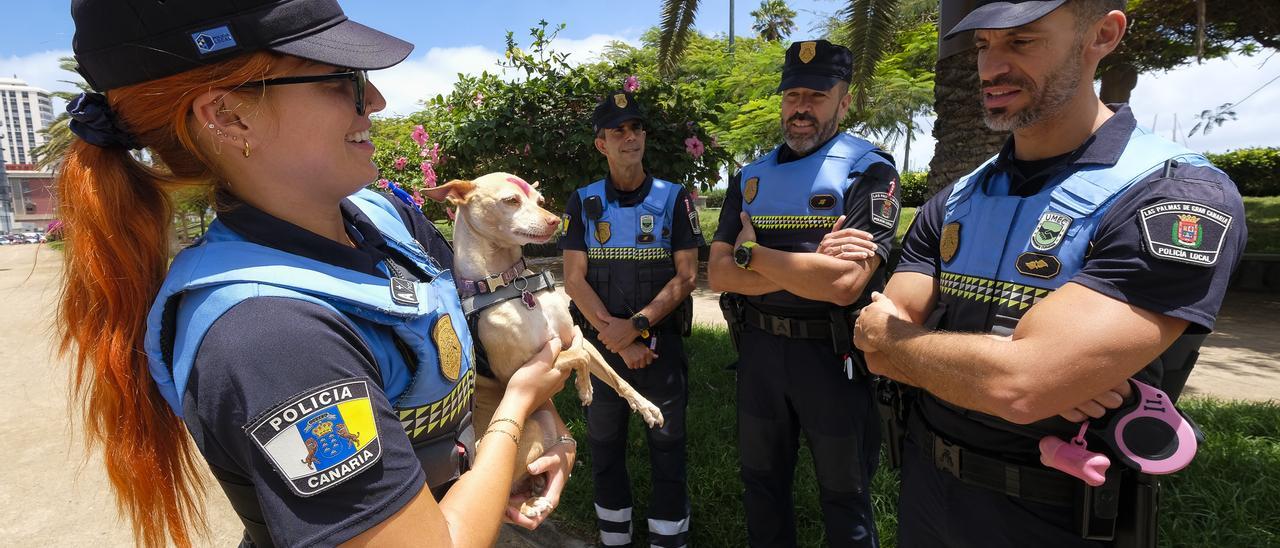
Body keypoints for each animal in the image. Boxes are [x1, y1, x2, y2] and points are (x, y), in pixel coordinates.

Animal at [424, 171, 665, 517]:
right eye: (511, 200)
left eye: (538, 200)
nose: (555, 221)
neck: (514, 284)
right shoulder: (515, 372)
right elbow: (575, 356)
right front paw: (585, 388)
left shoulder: (574, 335)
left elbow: (613, 374)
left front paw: (645, 407)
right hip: (527, 434)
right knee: (504, 497)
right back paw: (531, 505)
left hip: (545, 423)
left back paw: (539, 487)